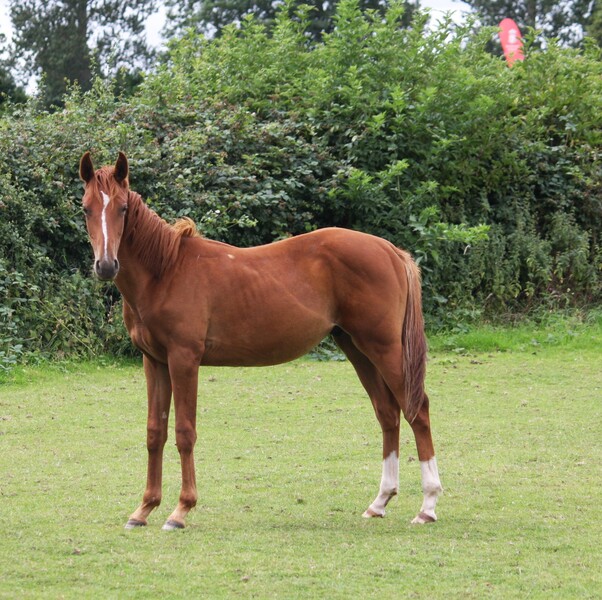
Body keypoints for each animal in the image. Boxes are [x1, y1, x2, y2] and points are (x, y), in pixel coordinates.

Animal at [78, 151, 440, 528]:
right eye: (86, 208)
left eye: (122, 208)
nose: (106, 265)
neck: (166, 271)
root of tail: (390, 251)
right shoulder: (155, 362)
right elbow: (155, 433)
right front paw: (144, 508)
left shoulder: (184, 360)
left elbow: (184, 432)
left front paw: (181, 510)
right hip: (356, 348)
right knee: (387, 413)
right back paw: (380, 502)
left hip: (385, 348)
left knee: (417, 410)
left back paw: (427, 506)